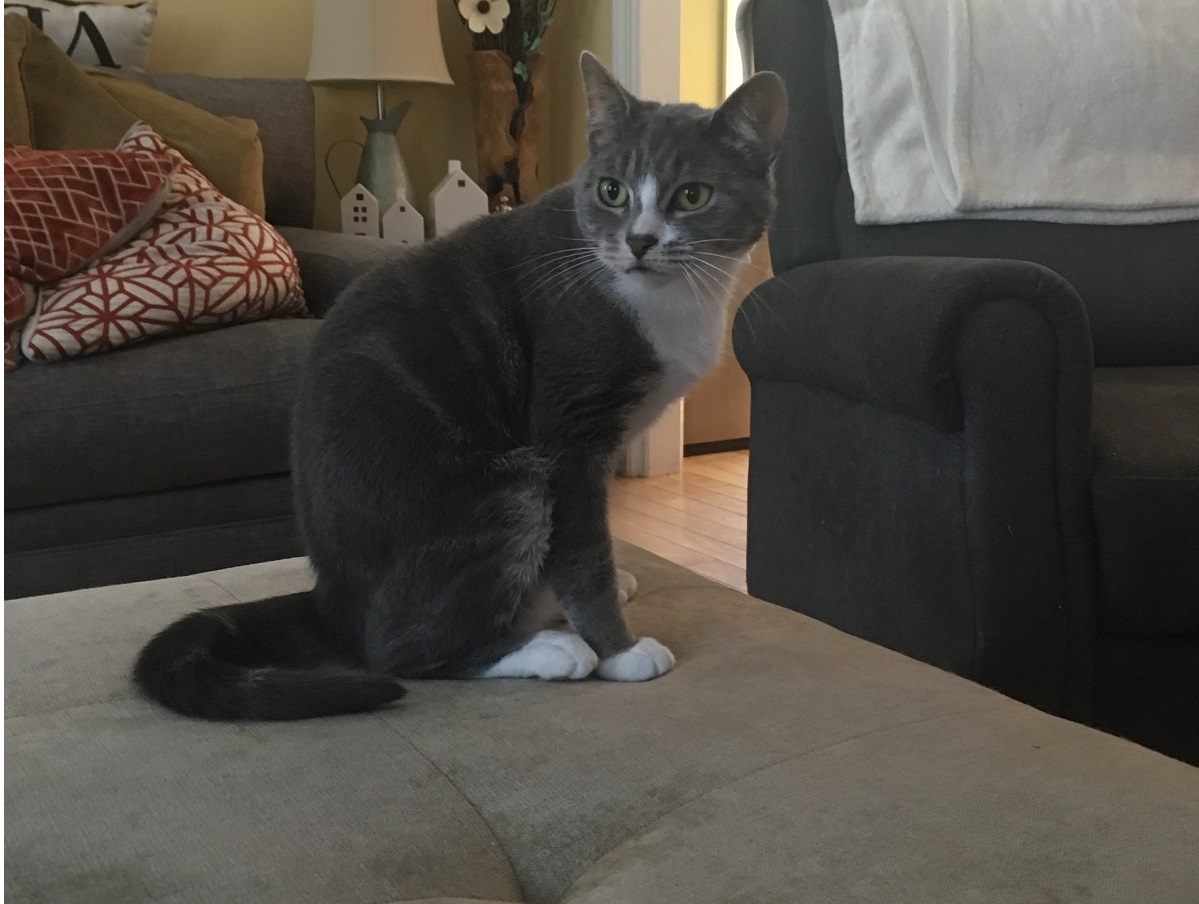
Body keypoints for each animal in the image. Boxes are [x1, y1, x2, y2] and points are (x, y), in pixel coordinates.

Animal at [133, 54, 786, 719]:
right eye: (613, 191)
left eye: (693, 196)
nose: (639, 241)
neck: (669, 298)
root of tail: (330, 600)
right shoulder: (567, 432)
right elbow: (582, 549)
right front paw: (620, 652)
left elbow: (581, 543)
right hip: (504, 488)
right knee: (399, 651)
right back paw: (549, 649)